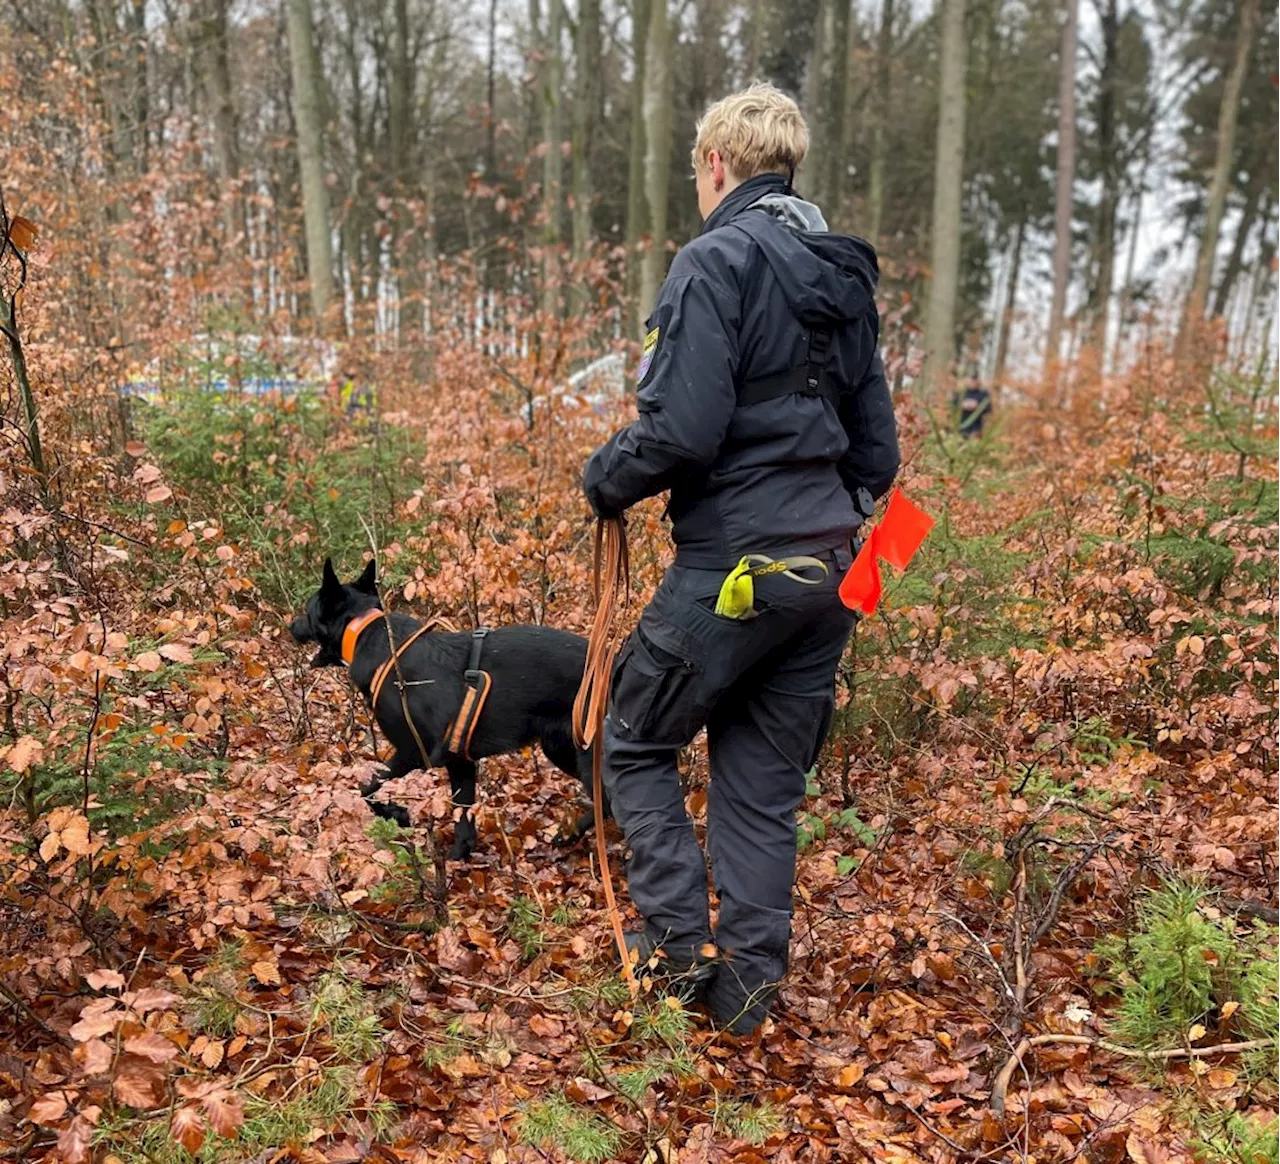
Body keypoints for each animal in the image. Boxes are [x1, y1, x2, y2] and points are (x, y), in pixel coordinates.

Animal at [293, 558, 601, 860]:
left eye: (307, 611)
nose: (290, 626)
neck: (367, 631)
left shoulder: (415, 751)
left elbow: (367, 787)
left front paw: (397, 814)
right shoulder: (460, 761)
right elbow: (462, 815)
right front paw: (459, 856)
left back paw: (572, 835)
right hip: (561, 748)